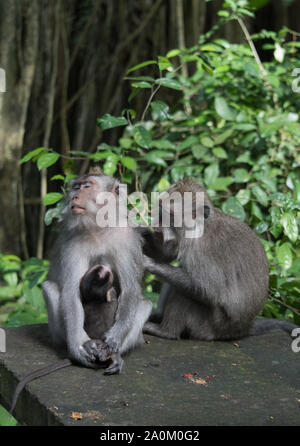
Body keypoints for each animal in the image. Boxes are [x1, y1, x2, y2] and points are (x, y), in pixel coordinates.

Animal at [143, 178, 298, 342]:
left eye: (170, 213)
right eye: (160, 206)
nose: (157, 223)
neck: (199, 228)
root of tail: (243, 329)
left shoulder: (204, 251)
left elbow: (206, 290)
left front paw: (149, 263)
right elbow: (165, 254)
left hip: (210, 327)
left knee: (186, 294)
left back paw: (166, 331)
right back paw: (158, 316)